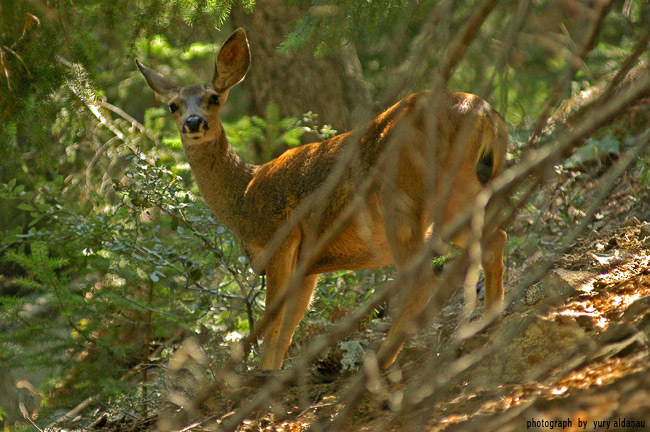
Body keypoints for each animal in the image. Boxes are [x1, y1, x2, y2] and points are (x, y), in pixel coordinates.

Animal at [136, 28, 508, 370]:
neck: (245, 193)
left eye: (214, 98)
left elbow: (272, 322)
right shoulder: (309, 266)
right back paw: (488, 322)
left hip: (402, 194)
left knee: (423, 280)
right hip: (457, 197)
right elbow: (285, 332)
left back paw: (380, 365)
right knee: (495, 238)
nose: (193, 122)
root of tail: (485, 116)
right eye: (173, 105)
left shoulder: (280, 239)